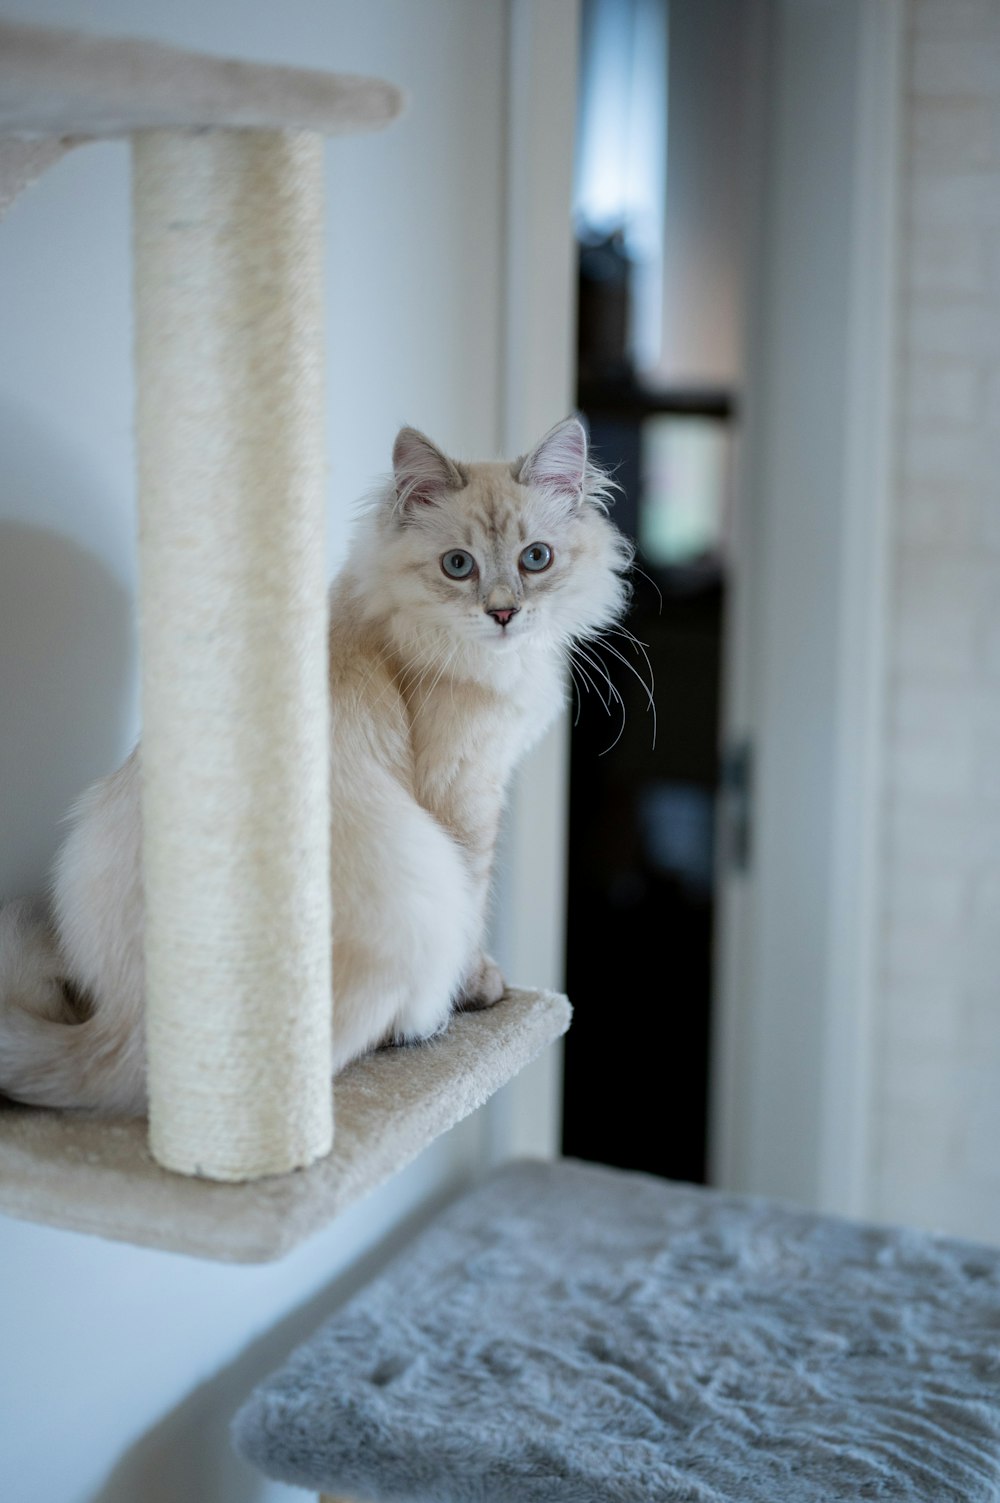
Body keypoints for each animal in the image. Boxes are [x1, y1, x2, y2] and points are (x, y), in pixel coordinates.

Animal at [0, 414, 631, 1118]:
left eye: (535, 559)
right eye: (458, 566)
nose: (502, 613)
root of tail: (139, 1034)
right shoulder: (464, 796)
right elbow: (477, 904)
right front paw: (481, 986)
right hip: (418, 879)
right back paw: (425, 1023)